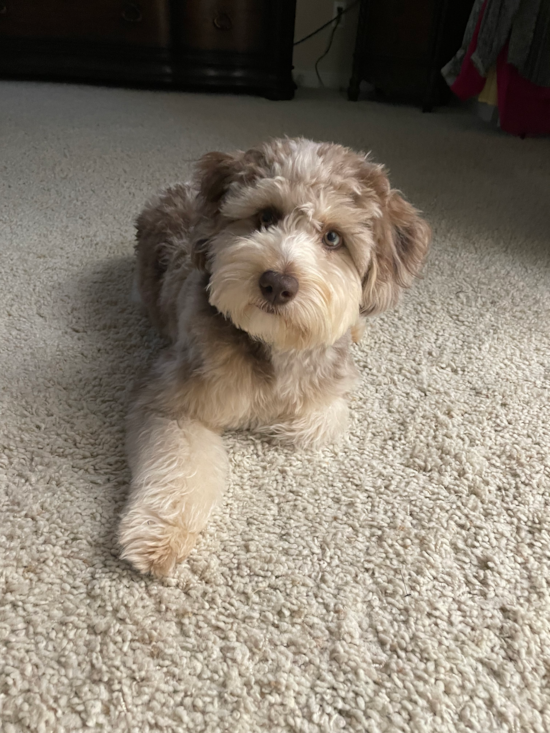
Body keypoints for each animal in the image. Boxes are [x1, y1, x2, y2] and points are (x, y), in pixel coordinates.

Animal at [118, 134, 434, 576]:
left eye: (333, 238)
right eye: (265, 215)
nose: (277, 283)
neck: (273, 346)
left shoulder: (329, 385)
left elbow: (324, 418)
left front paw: (278, 422)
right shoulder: (170, 401)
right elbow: (179, 465)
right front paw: (161, 535)